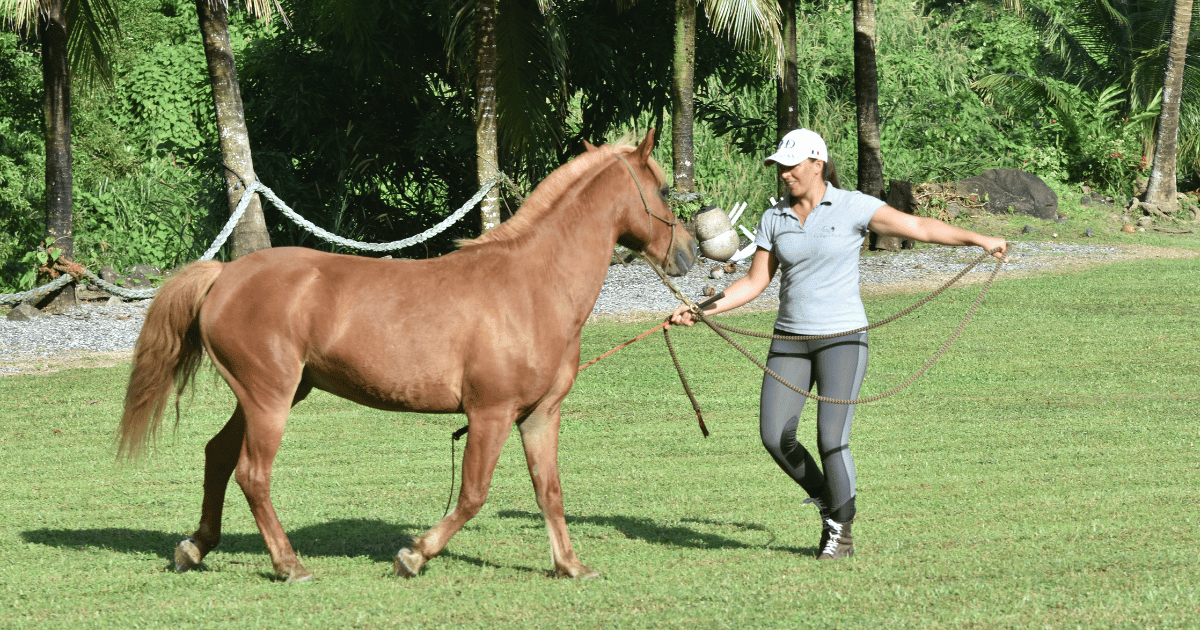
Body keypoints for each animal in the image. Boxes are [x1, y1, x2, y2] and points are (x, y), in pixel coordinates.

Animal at [117, 129, 700, 585]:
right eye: (662, 188)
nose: (689, 253)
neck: (532, 286)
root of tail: (224, 275)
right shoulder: (490, 414)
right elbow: (472, 494)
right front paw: (415, 555)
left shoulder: (539, 414)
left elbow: (549, 491)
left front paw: (571, 565)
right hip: (269, 399)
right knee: (252, 474)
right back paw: (289, 565)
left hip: (267, 396)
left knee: (217, 456)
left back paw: (195, 548)